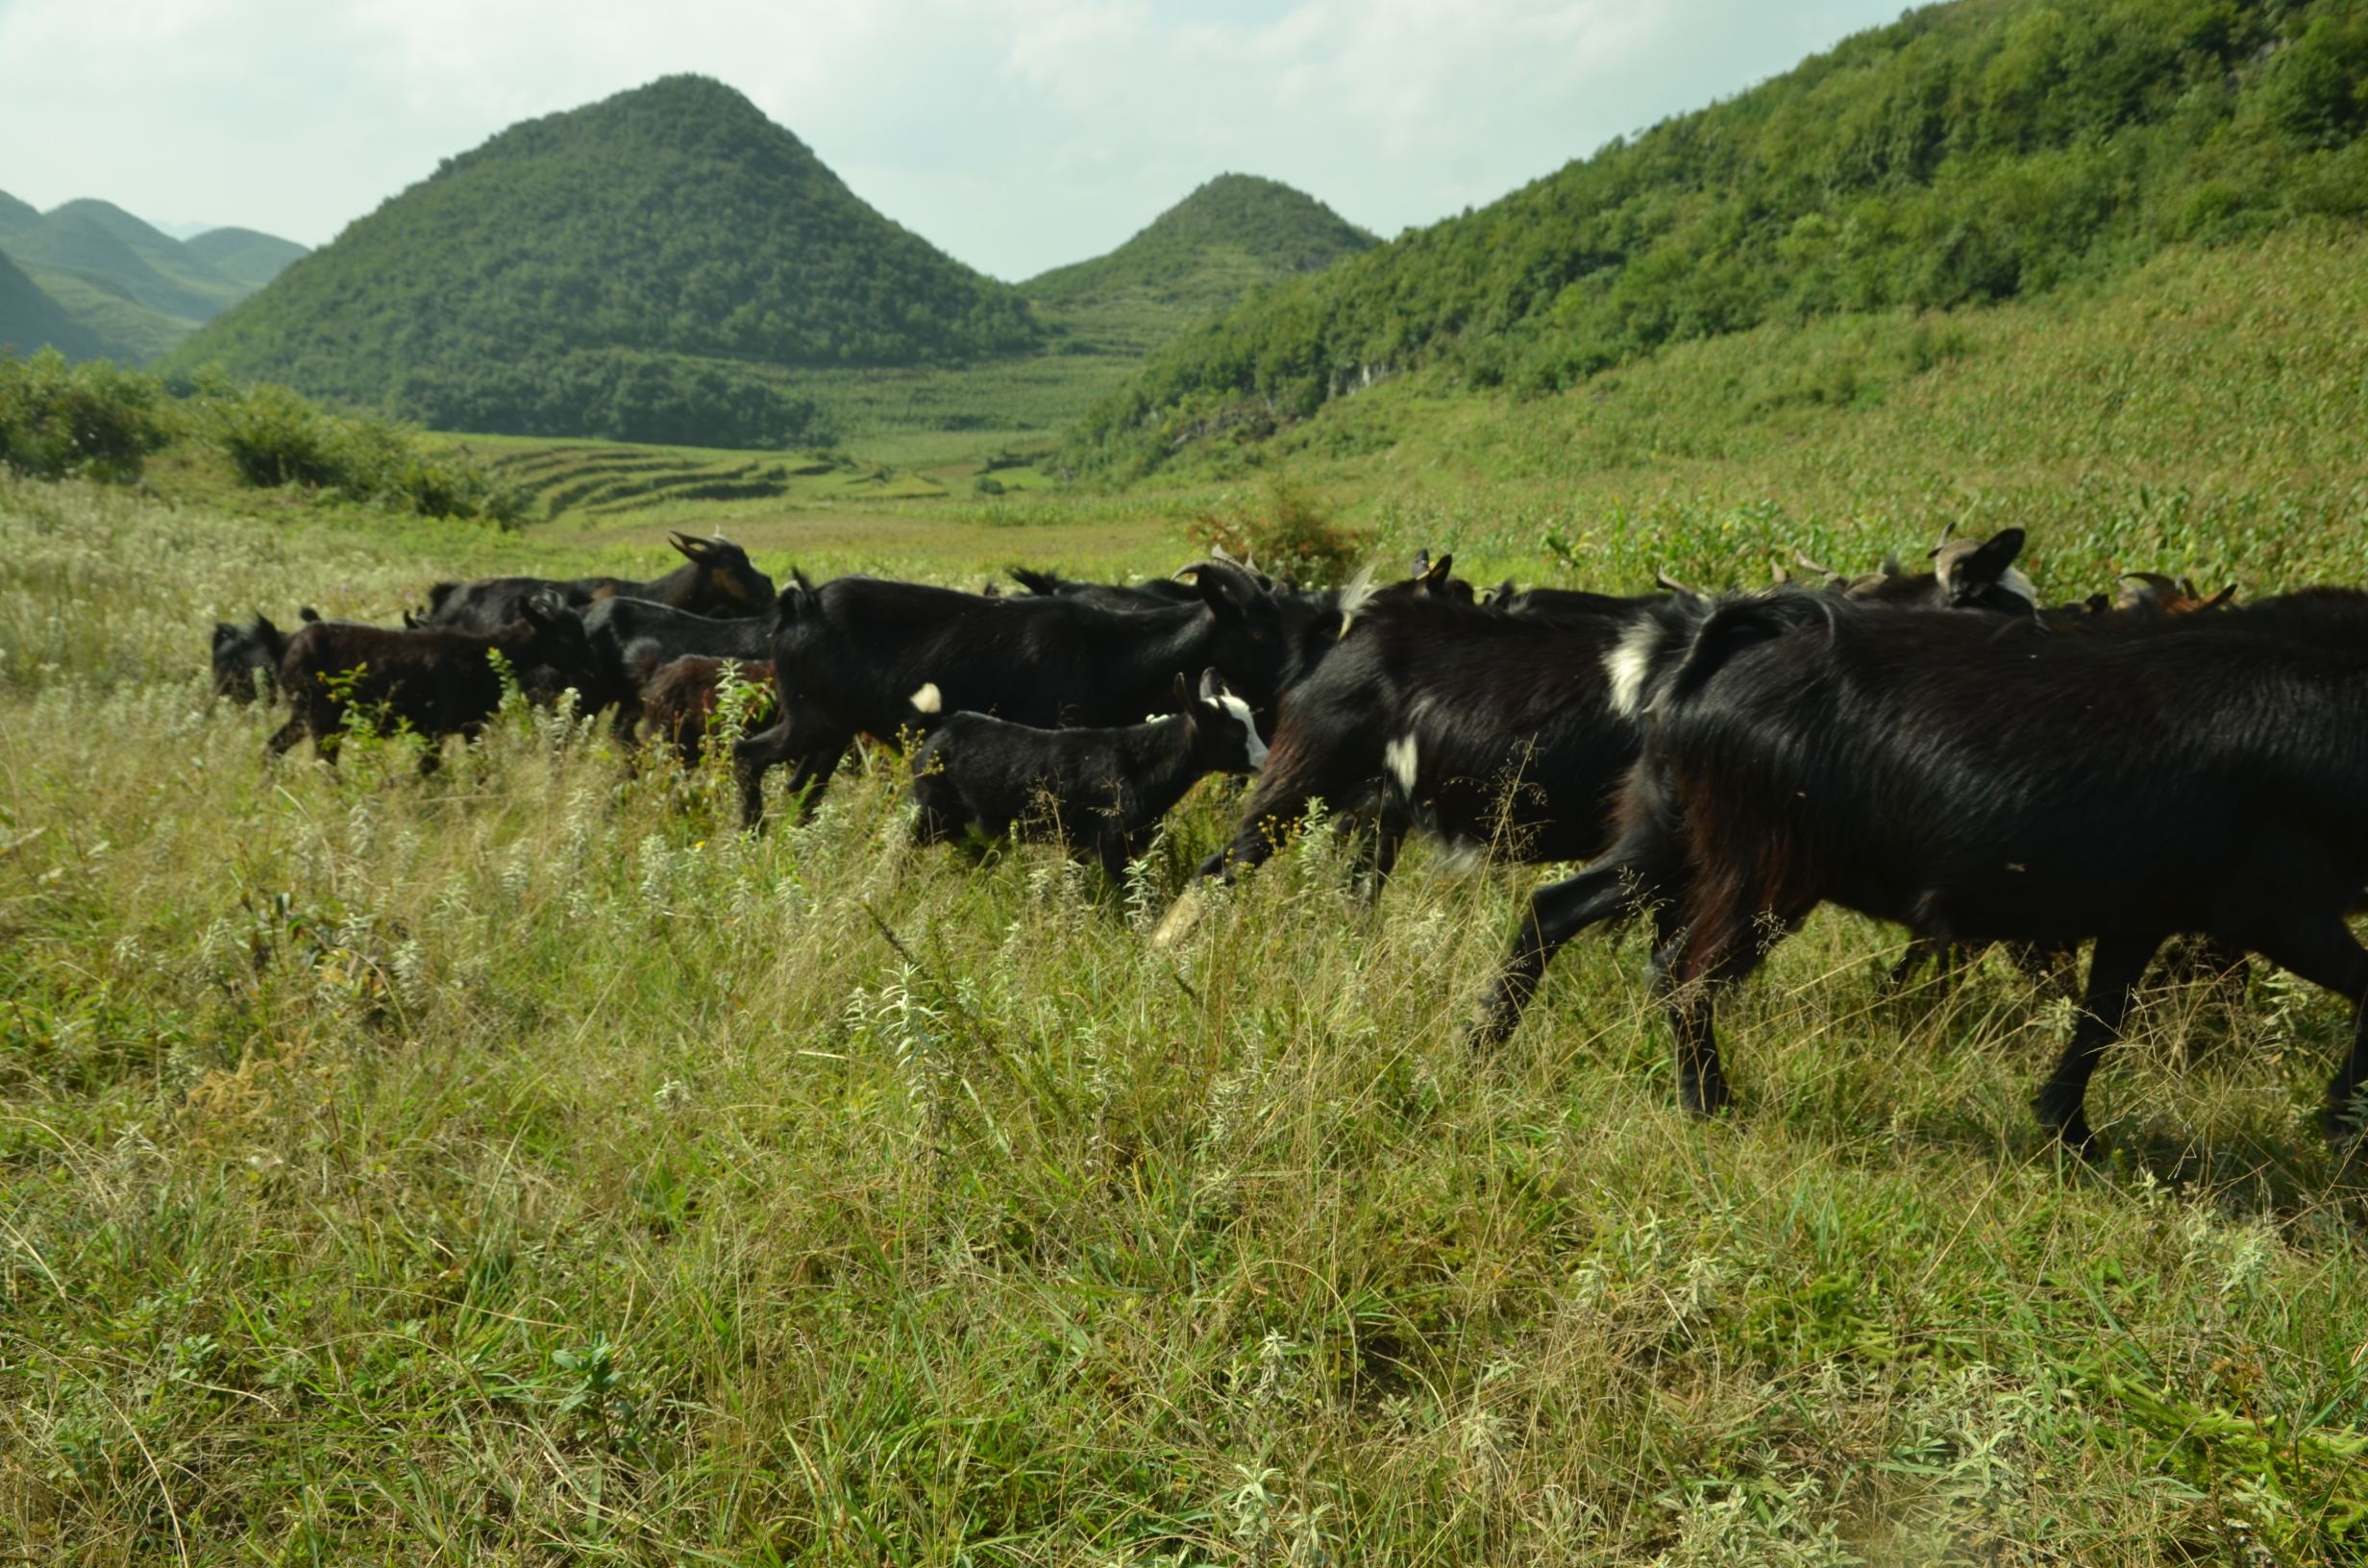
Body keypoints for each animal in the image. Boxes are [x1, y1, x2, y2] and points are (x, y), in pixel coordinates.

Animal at [264, 592, 601, 772]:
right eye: (565, 635)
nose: (592, 668)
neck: (482, 655)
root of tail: (284, 646)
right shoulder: (432, 728)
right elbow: (432, 771)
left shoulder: (472, 726)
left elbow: (478, 770)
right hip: (323, 716)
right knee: (324, 763)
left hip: (303, 713)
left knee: (274, 746)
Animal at [909, 668, 1278, 876]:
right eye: (1232, 734)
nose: (1265, 761)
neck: (1141, 762)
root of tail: (938, 725)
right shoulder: (1110, 843)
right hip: (930, 812)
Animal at [1468, 589, 2368, 1156]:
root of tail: (1720, 649)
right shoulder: (2276, 903)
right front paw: (2341, 1123)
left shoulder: (2141, 910)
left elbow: (2100, 1020)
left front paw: (2071, 1134)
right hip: (1764, 864)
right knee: (1681, 970)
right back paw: (1708, 1104)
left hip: (1671, 834)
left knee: (1556, 907)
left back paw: (1483, 1047)